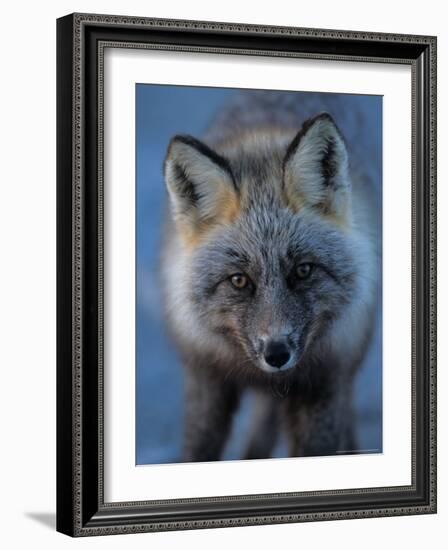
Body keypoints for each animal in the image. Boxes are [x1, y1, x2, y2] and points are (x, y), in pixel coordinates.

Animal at [160, 90, 378, 462]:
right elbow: (199, 449)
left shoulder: (325, 383)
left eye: (303, 270)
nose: (277, 354)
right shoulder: (206, 378)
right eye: (238, 280)